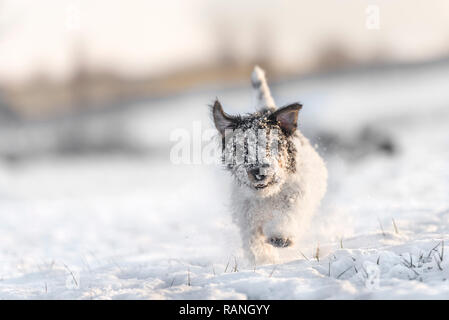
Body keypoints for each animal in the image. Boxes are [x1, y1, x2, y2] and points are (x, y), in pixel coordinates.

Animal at [212, 65, 328, 264]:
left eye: (271, 144)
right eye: (243, 147)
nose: (258, 172)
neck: (268, 196)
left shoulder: (298, 195)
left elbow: (289, 212)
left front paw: (281, 235)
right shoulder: (246, 213)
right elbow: (252, 237)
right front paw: (263, 258)